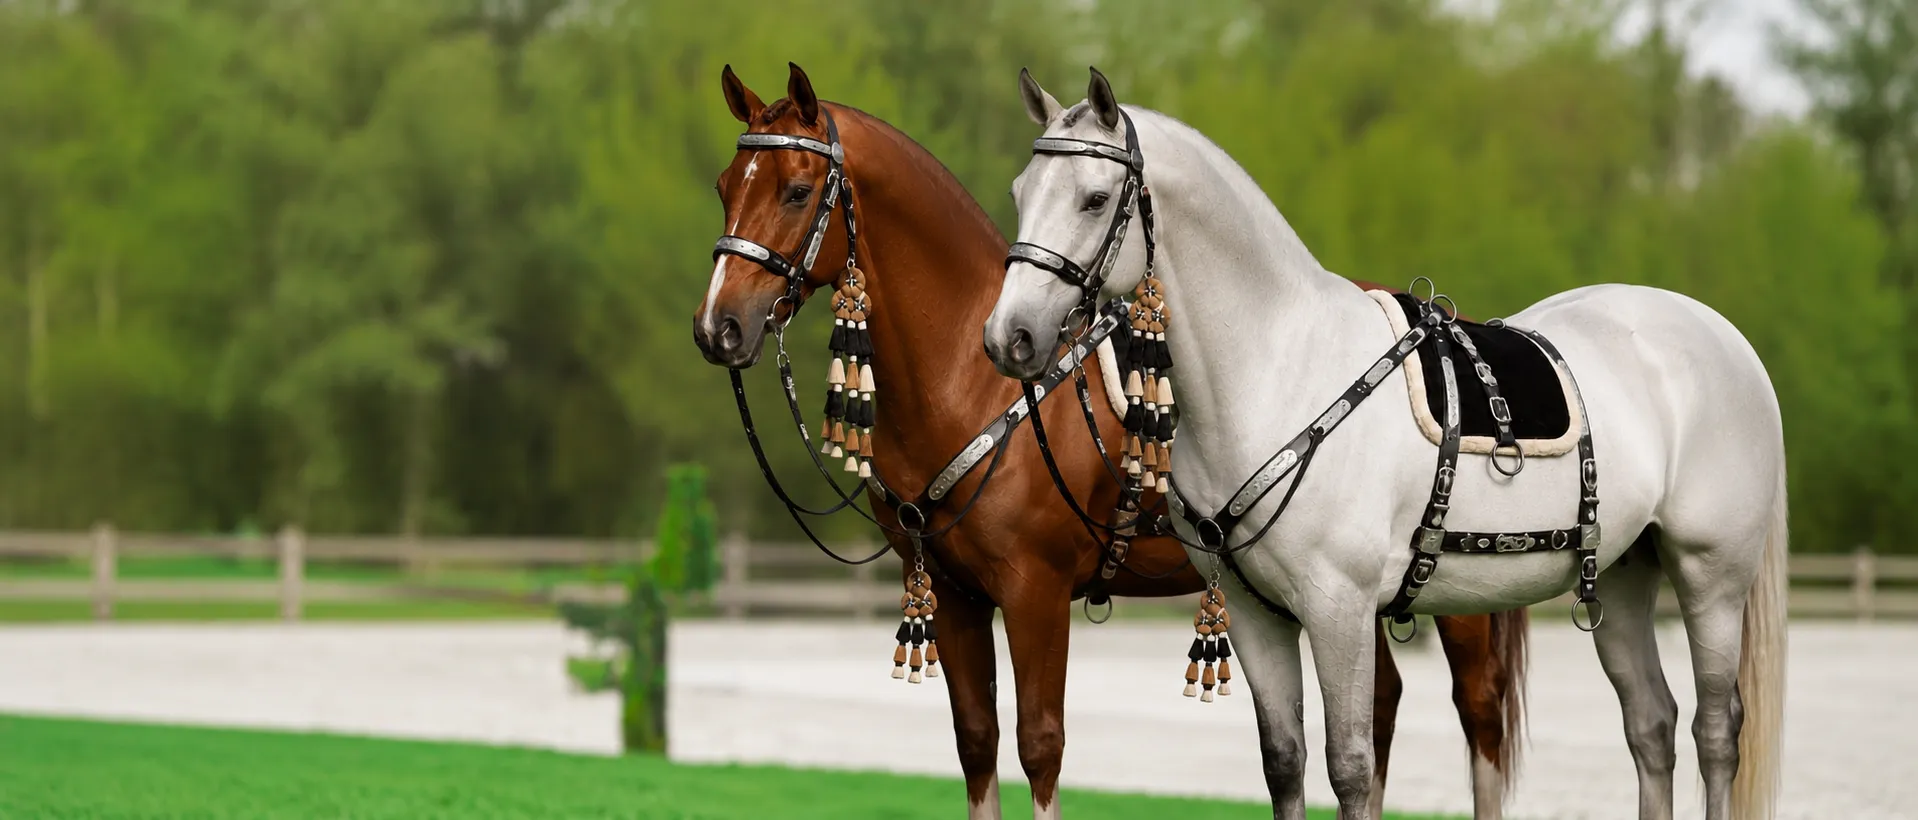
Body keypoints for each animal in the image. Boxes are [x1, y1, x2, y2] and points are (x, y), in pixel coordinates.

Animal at [692, 63, 1529, 820]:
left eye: (796, 191)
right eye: (728, 187)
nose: (718, 327)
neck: (972, 379)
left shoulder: (1033, 592)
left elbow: (1039, 746)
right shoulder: (955, 598)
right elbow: (976, 744)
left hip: (1451, 599)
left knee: (1478, 714)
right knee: (1384, 702)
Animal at [982, 68, 1788, 820]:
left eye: (1093, 199)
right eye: (1021, 191)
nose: (1008, 337)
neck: (1282, 365)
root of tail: (1727, 341)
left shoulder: (1338, 608)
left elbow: (1350, 767)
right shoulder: (1253, 614)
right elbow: (1285, 762)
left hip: (1710, 575)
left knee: (1717, 731)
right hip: (1622, 574)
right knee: (1651, 724)